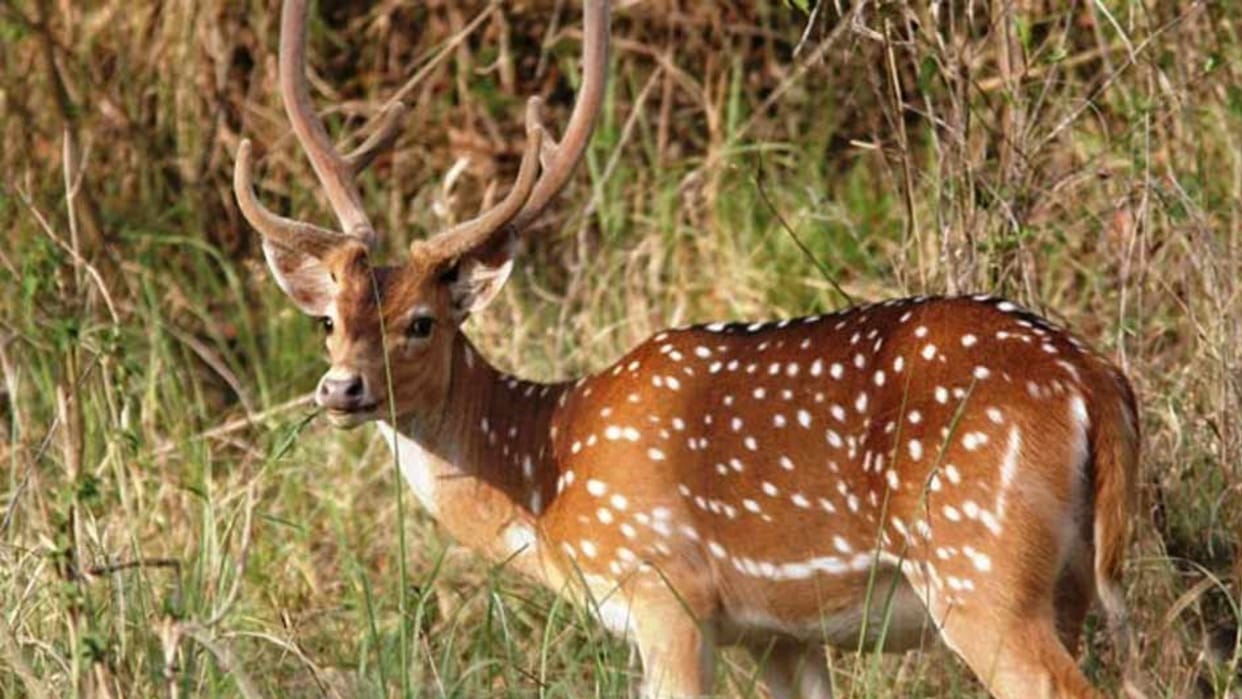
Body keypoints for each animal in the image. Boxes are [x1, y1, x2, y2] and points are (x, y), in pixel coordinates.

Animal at [232, 1, 1140, 697]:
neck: (548, 473)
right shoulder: (780, 632)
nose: (341, 389)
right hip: (1068, 582)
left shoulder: (664, 587)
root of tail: (1092, 380)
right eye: (328, 320)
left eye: (422, 320)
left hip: (977, 563)